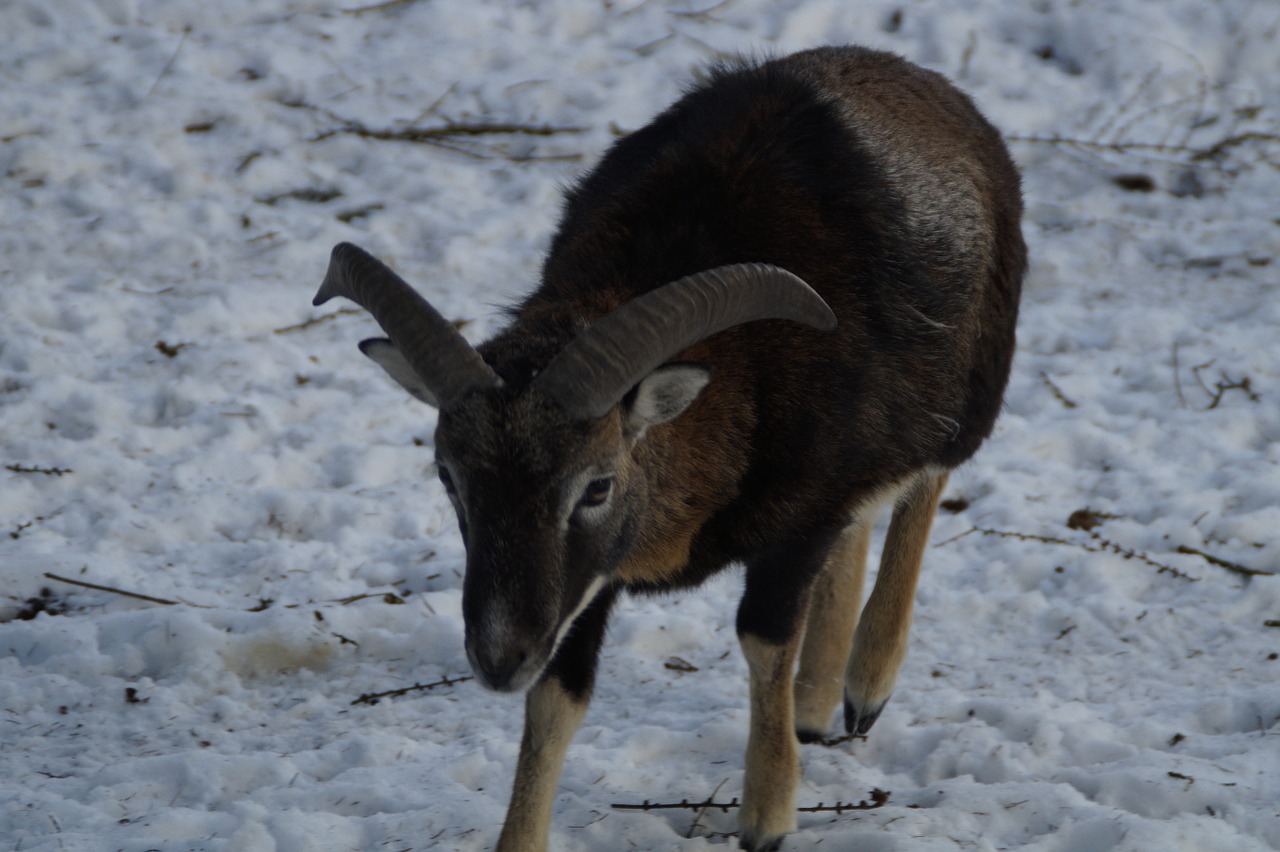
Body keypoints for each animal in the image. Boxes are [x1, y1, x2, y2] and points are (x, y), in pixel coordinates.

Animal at [314, 46, 1024, 849]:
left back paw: (864, 686)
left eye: (596, 486)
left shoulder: (800, 521)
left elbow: (763, 641)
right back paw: (817, 705)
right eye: (450, 478)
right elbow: (556, 700)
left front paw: (768, 817)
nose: (497, 659)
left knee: (925, 484)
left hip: (970, 389)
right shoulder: (585, 588)